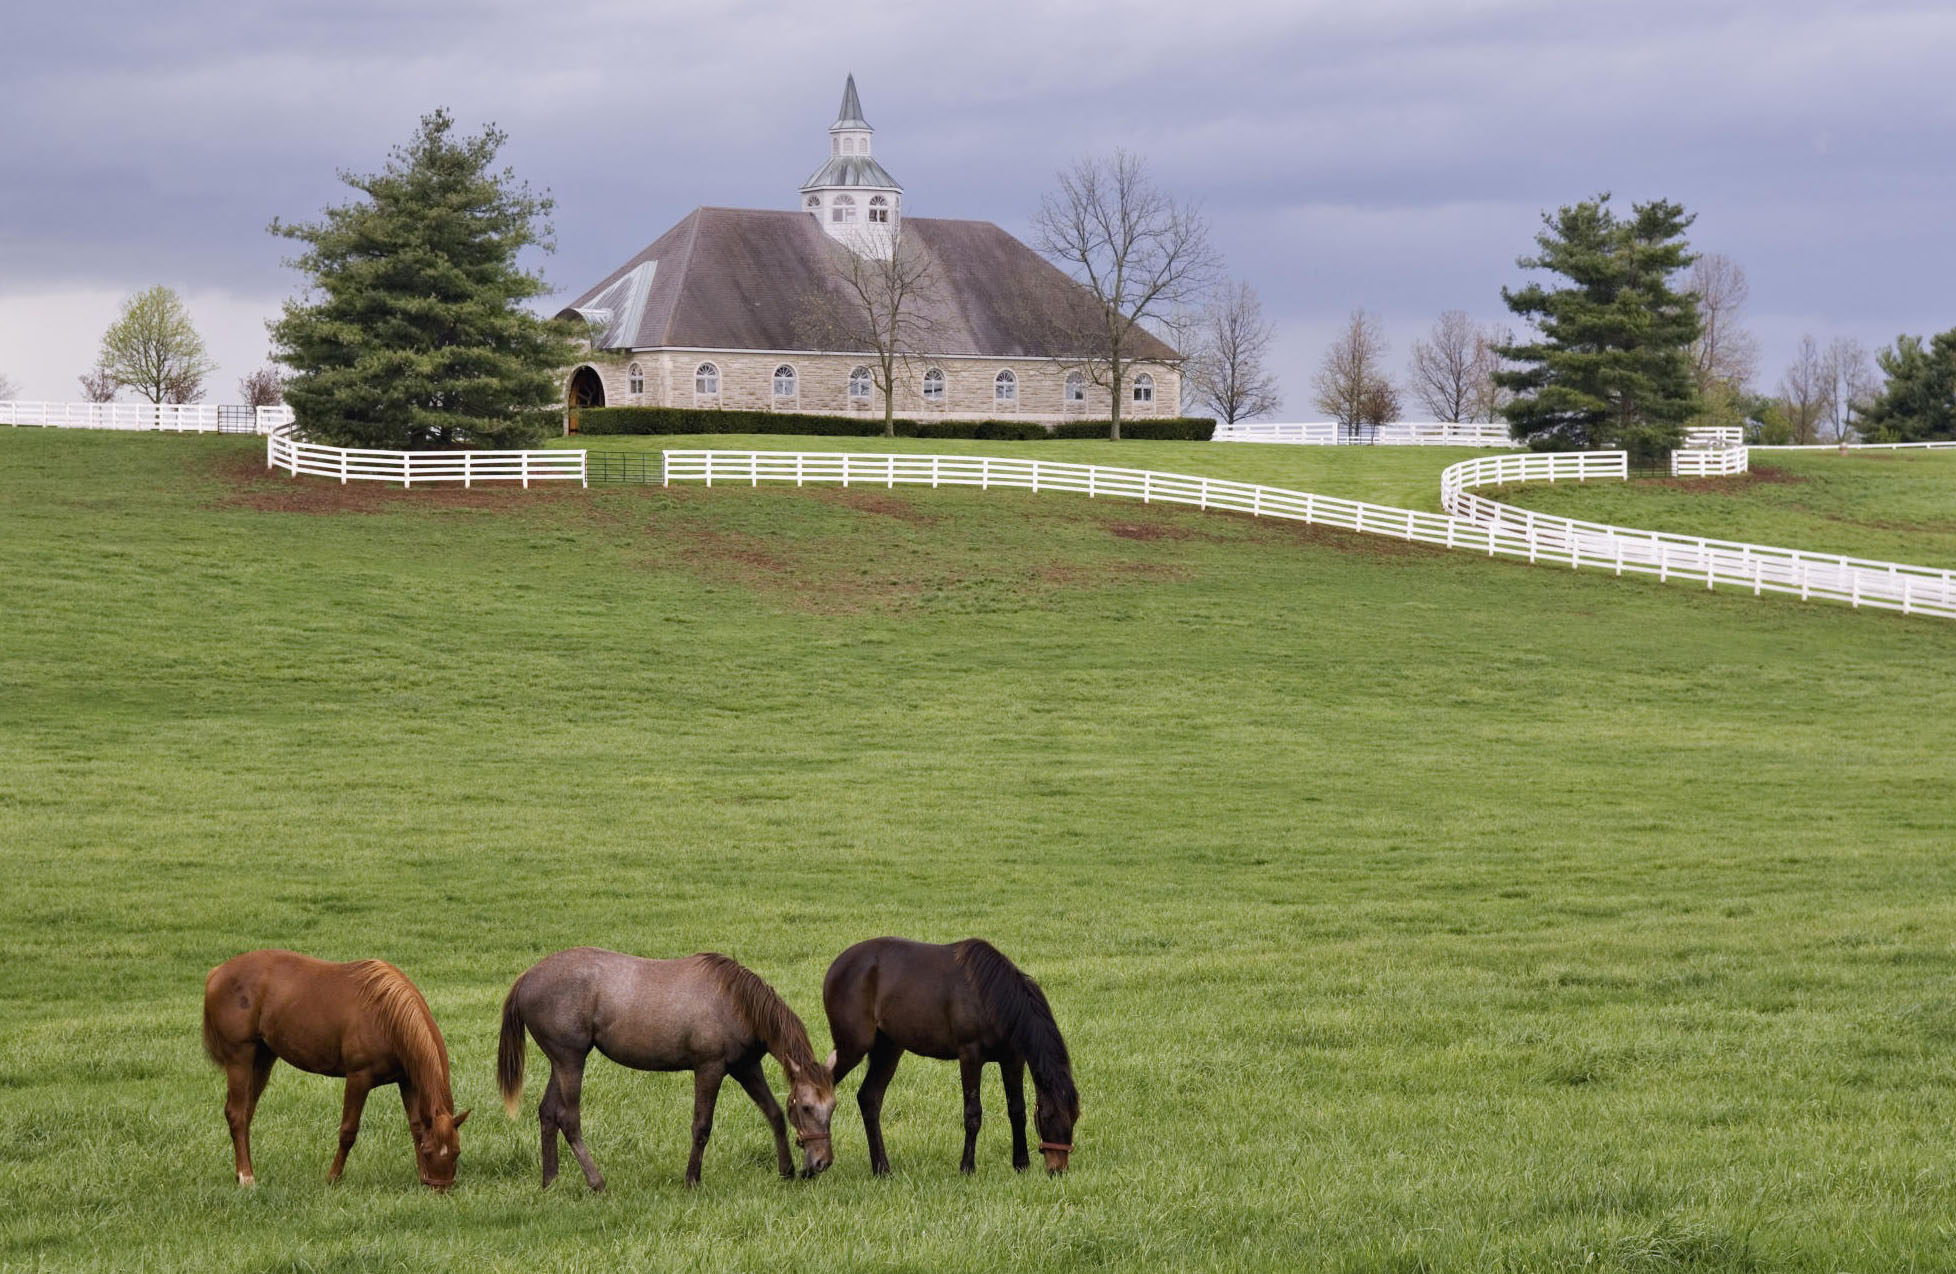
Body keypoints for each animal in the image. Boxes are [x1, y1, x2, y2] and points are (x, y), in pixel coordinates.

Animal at [201, 951, 469, 1189]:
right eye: (430, 1151)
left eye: (456, 1151)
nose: (440, 1188)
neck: (386, 1016)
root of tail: (216, 972)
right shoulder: (359, 1078)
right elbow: (348, 1131)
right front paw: (332, 1178)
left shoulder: (408, 1081)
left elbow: (415, 1127)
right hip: (240, 1058)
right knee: (236, 1114)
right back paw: (247, 1178)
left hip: (262, 1059)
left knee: (246, 1113)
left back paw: (242, 1172)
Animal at [496, 943, 833, 1189]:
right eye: (806, 1107)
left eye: (832, 1108)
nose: (822, 1163)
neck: (735, 1002)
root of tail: (526, 978)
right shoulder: (710, 1069)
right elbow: (702, 1127)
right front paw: (692, 1180)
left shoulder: (746, 1068)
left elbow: (774, 1114)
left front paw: (786, 1170)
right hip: (571, 1061)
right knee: (569, 1119)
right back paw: (596, 1182)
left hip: (561, 1062)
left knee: (548, 1113)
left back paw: (550, 1181)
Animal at [817, 935, 1079, 1174]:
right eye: (1049, 1116)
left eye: (1074, 1116)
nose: (1058, 1169)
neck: (991, 996)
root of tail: (837, 966)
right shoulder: (970, 1056)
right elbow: (973, 1114)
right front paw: (967, 1167)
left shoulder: (1013, 1059)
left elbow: (1017, 1110)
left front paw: (1021, 1164)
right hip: (852, 1048)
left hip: (889, 1050)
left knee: (869, 1099)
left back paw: (882, 1168)